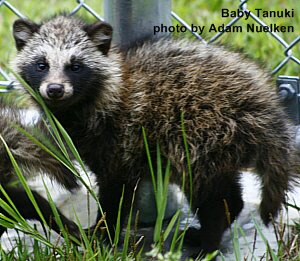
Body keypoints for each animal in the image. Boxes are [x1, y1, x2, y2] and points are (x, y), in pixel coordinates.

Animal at [2, 14, 296, 254]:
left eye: (75, 66)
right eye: (41, 65)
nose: (54, 89)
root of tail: (265, 103)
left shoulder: (120, 140)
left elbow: (117, 193)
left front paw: (102, 232)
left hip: (205, 133)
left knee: (210, 196)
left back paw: (209, 241)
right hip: (220, 146)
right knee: (228, 196)